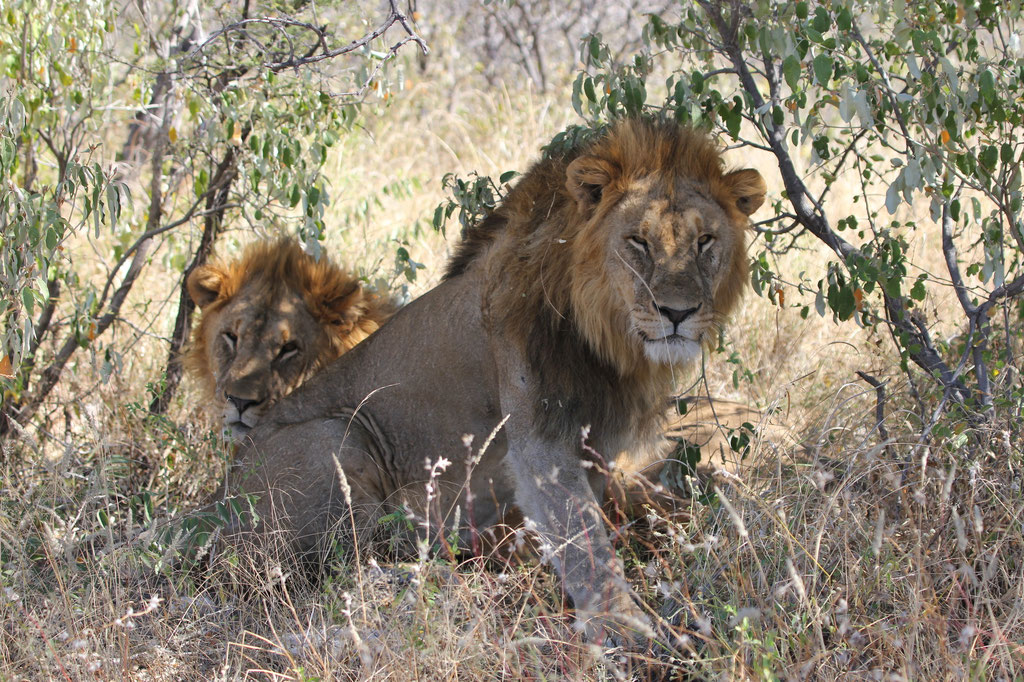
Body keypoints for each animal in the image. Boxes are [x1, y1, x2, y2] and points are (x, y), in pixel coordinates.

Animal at [227, 118, 766, 645]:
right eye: (639, 241)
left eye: (705, 242)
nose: (678, 313)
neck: (609, 339)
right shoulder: (540, 437)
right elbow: (585, 540)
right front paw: (625, 626)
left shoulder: (595, 445)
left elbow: (583, 531)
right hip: (335, 437)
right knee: (356, 562)